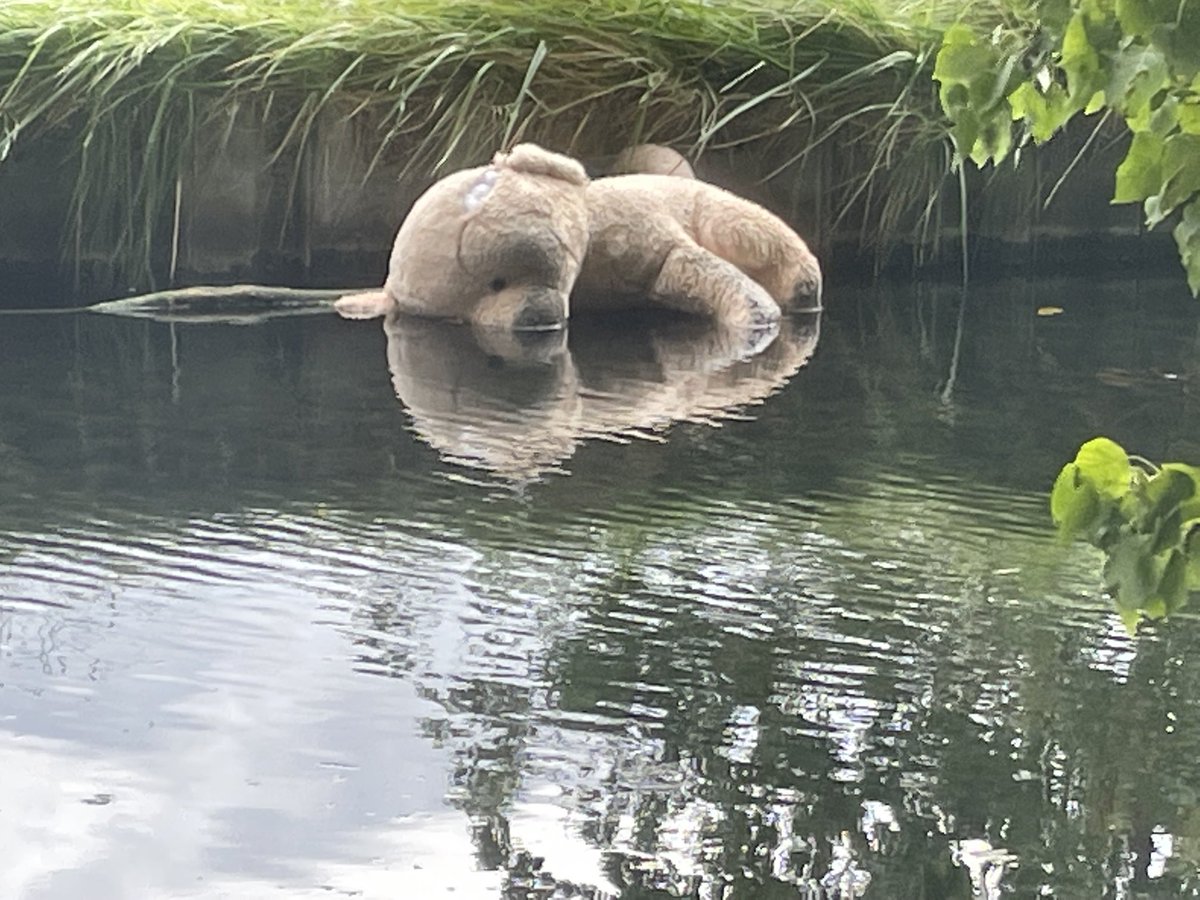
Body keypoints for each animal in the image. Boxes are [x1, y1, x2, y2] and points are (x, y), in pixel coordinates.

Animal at [335, 143, 821, 331]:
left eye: (499, 279)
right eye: (466, 308)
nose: (534, 317)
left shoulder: (633, 230)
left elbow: (681, 263)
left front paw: (757, 315)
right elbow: (673, 278)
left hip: (709, 204)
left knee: (749, 228)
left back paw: (801, 286)